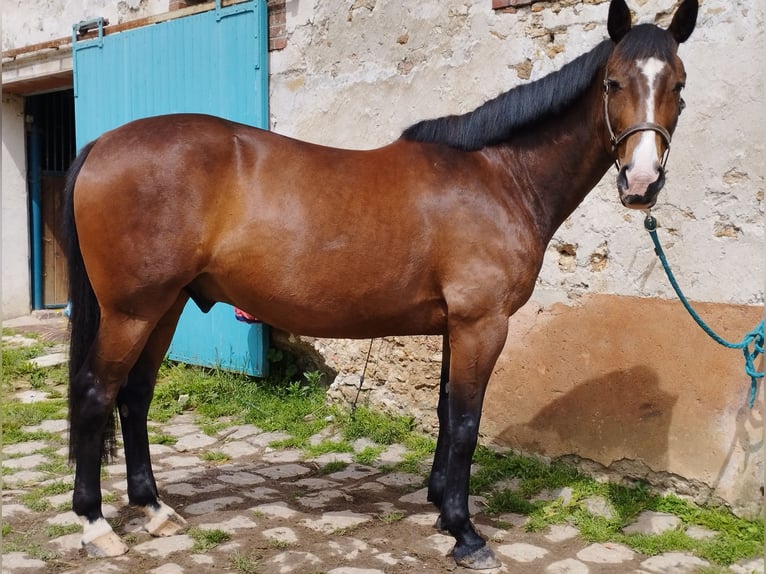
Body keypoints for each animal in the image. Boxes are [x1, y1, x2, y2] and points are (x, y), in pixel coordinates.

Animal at [64, 0, 704, 568]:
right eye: (614, 83)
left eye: (679, 86)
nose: (641, 183)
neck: (499, 176)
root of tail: (100, 144)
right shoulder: (482, 325)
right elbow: (467, 423)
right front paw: (466, 534)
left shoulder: (456, 326)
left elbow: (446, 411)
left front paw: (441, 505)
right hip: (132, 312)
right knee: (97, 394)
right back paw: (95, 525)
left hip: (165, 307)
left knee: (135, 397)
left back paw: (152, 510)